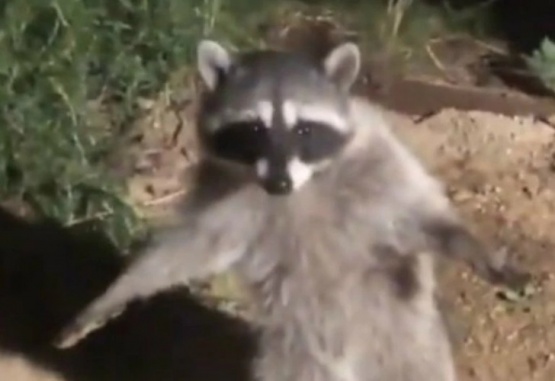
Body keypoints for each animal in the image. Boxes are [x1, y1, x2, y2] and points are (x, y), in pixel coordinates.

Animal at [55, 40, 528, 380]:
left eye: (304, 129)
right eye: (254, 130)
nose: (278, 183)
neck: (300, 187)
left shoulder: (375, 155)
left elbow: (416, 209)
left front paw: (468, 244)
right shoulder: (222, 191)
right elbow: (189, 247)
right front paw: (118, 292)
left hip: (402, 333)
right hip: (297, 350)